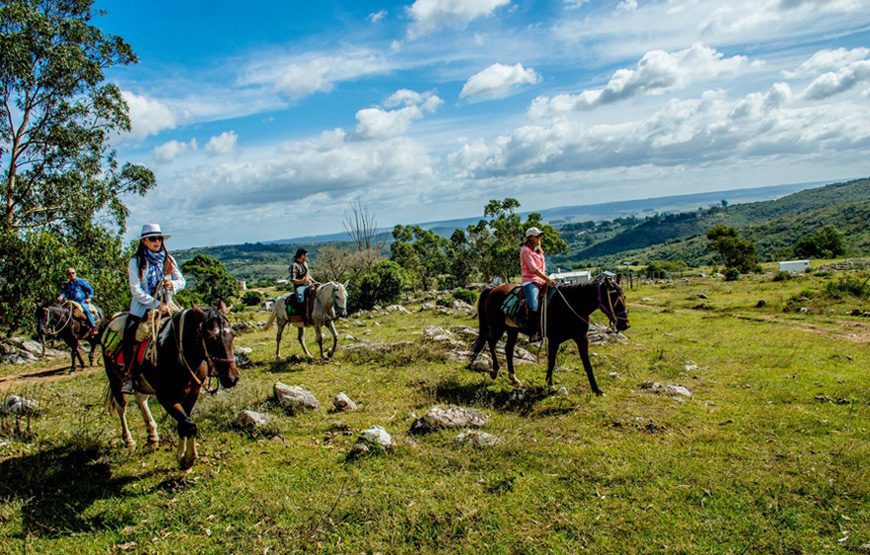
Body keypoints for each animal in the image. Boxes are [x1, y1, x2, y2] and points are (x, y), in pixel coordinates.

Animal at [101, 304, 238, 470]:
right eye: (211, 338)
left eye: (232, 335)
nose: (232, 378)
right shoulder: (165, 398)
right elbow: (189, 425)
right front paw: (188, 459)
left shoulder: (192, 393)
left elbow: (184, 423)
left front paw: (182, 456)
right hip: (114, 378)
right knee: (121, 407)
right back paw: (129, 440)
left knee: (141, 399)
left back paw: (152, 438)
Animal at [474, 278, 632, 396]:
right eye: (615, 299)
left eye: (624, 297)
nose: (625, 324)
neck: (571, 305)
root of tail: (492, 290)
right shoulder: (554, 339)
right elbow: (551, 361)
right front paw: (548, 386)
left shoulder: (581, 338)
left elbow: (587, 363)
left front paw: (596, 389)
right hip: (498, 327)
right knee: (491, 342)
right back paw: (495, 371)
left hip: (512, 329)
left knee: (508, 349)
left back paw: (514, 378)